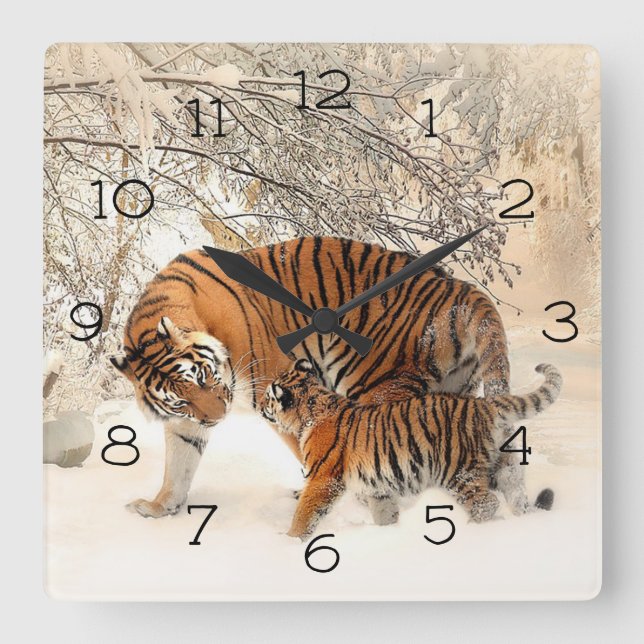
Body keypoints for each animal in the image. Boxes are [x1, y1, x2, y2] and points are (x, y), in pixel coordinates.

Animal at [111, 235, 528, 522]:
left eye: (202, 376)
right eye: (180, 399)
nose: (218, 418)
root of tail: (460, 288)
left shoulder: (275, 385)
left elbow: (311, 449)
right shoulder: (187, 422)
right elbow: (178, 465)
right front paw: (159, 507)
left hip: (380, 386)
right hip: (452, 393)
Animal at [260, 359, 562, 541]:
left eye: (268, 398)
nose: (261, 406)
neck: (312, 408)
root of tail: (484, 404)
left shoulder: (323, 479)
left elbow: (305, 513)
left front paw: (290, 541)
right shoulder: (378, 486)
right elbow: (384, 512)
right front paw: (389, 533)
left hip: (458, 471)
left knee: (486, 503)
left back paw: (474, 531)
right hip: (507, 467)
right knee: (517, 497)